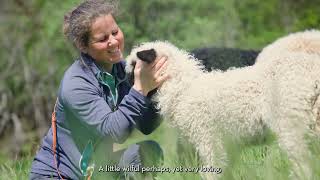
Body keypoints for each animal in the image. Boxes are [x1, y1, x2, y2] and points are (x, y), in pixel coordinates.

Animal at [124, 30, 320, 179]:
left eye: (134, 67)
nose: (127, 88)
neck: (184, 87)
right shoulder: (226, 145)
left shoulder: (208, 139)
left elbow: (211, 171)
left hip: (292, 124)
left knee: (303, 166)